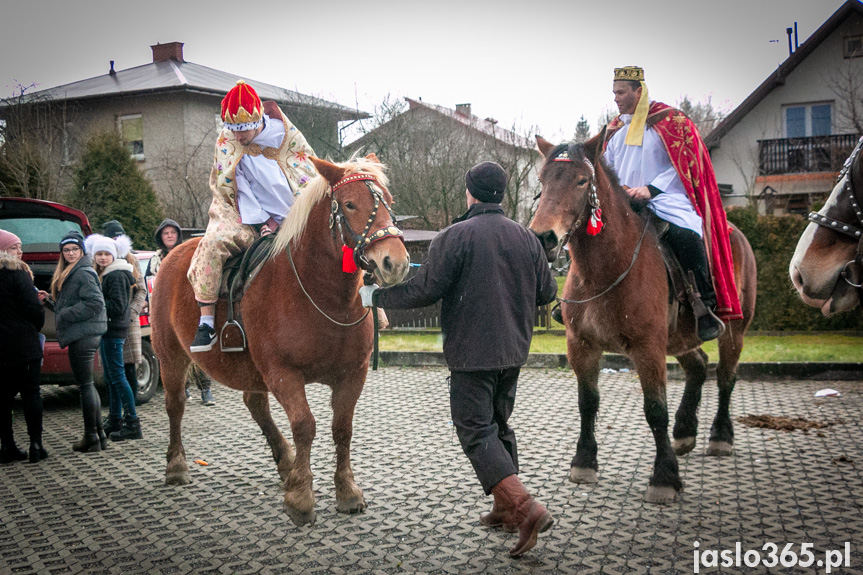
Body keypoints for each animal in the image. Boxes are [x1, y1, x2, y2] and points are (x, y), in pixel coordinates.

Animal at [152, 153, 412, 528]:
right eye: (350, 204)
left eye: (389, 202)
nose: (396, 262)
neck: (321, 294)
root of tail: (174, 252)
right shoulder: (283, 374)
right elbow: (305, 426)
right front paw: (301, 498)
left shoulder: (352, 374)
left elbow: (342, 428)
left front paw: (346, 491)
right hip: (171, 356)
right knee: (175, 405)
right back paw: (176, 465)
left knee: (255, 404)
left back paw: (285, 462)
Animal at [528, 138, 756, 504]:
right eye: (542, 179)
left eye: (581, 181)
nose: (543, 237)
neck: (606, 270)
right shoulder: (582, 345)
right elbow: (587, 403)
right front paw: (584, 461)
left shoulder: (648, 348)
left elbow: (655, 410)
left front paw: (664, 477)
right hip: (678, 338)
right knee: (697, 366)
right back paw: (685, 432)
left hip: (734, 328)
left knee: (725, 376)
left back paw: (720, 436)